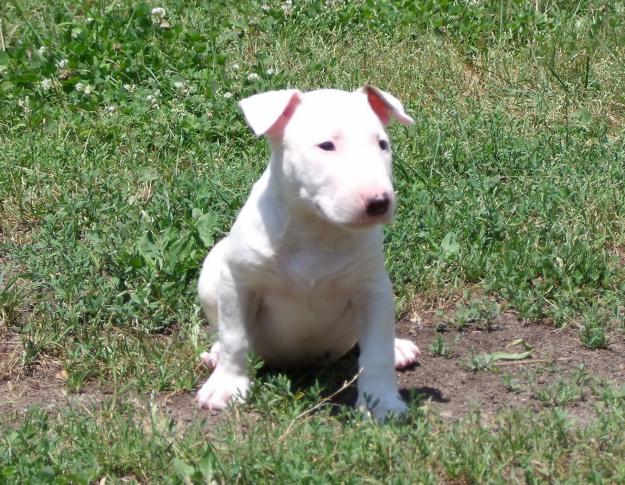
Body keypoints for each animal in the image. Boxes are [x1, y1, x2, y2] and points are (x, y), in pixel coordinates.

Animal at [195, 85, 420, 418]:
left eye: (382, 144)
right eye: (326, 145)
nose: (380, 202)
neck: (318, 231)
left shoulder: (372, 290)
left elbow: (376, 352)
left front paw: (382, 403)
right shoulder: (240, 283)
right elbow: (236, 337)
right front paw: (226, 387)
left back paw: (398, 348)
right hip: (212, 271)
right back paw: (215, 354)